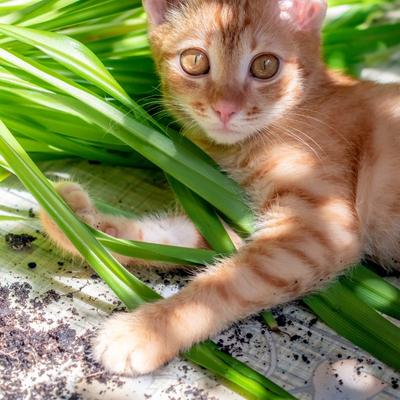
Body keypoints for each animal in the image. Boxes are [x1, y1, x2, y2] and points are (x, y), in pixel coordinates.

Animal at [39, 0, 400, 376]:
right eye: (194, 61)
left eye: (265, 65)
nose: (225, 109)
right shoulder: (234, 216)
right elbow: (167, 238)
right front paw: (79, 222)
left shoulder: (317, 230)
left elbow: (224, 284)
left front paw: (149, 329)